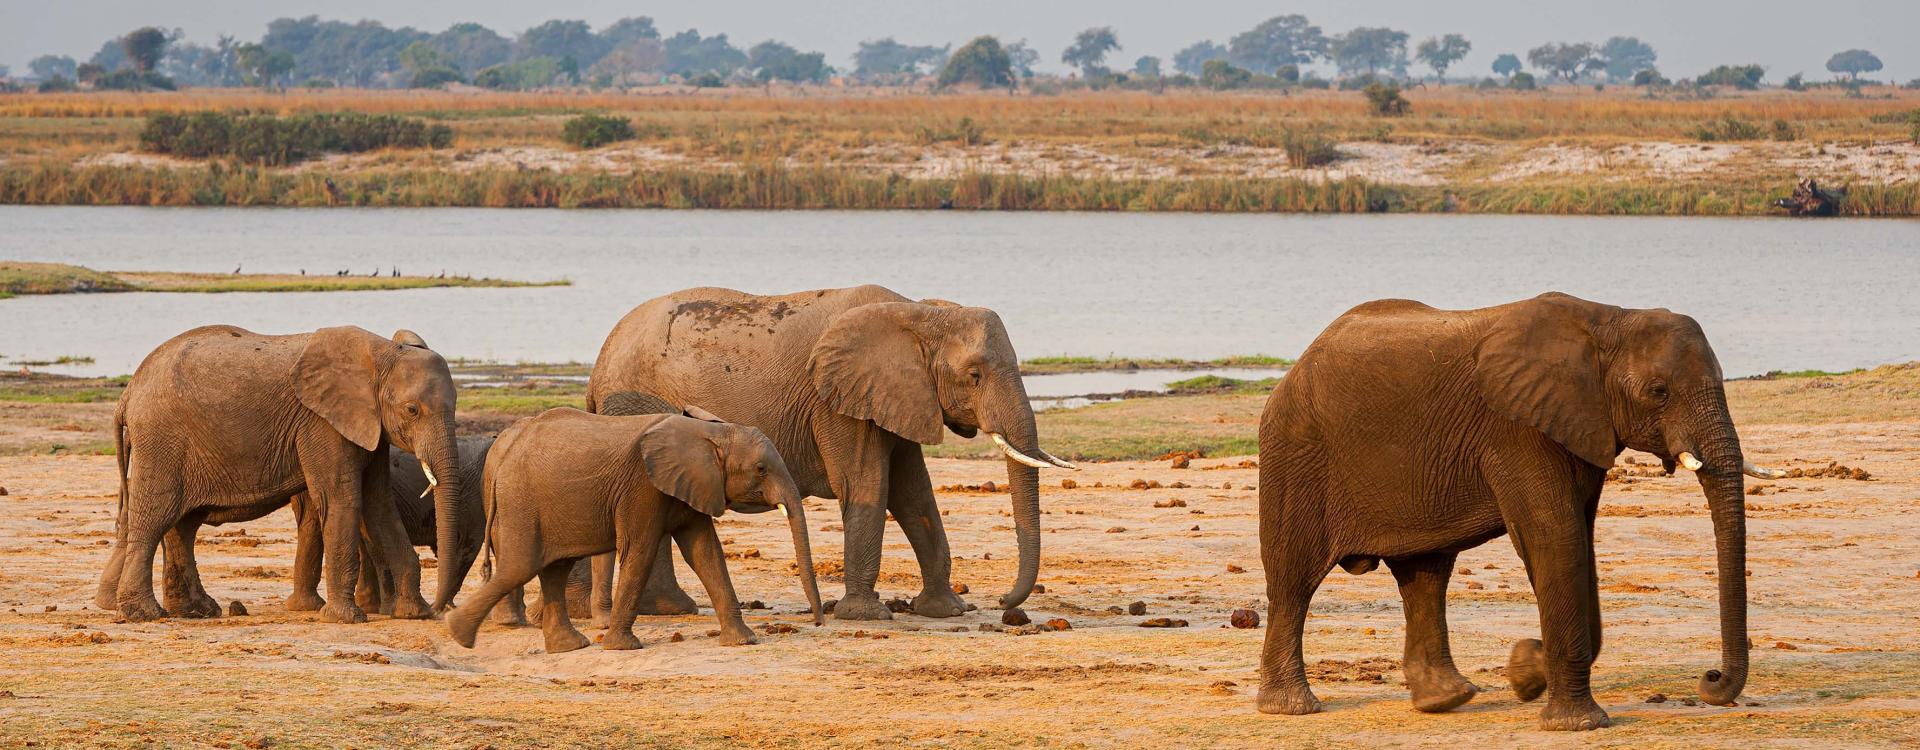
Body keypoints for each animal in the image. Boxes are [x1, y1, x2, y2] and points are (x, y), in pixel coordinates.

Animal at [449, 408, 825, 656]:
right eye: (761, 469)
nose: (819, 622)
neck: (708, 432)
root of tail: (502, 458)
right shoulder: (641, 487)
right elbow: (640, 551)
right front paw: (623, 647)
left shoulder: (692, 484)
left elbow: (705, 553)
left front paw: (743, 641)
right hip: (521, 502)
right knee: (521, 565)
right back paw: (458, 633)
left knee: (553, 569)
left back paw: (568, 647)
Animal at [1251, 295, 1774, 732]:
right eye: (1659, 391)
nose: (1709, 678)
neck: (1608, 320)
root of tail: (1296, 366)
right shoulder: (1518, 430)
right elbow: (1554, 536)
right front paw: (1577, 723)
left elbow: (1579, 538)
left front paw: (1524, 672)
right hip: (1295, 453)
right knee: (1294, 579)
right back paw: (1293, 708)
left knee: (1425, 576)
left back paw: (1446, 699)